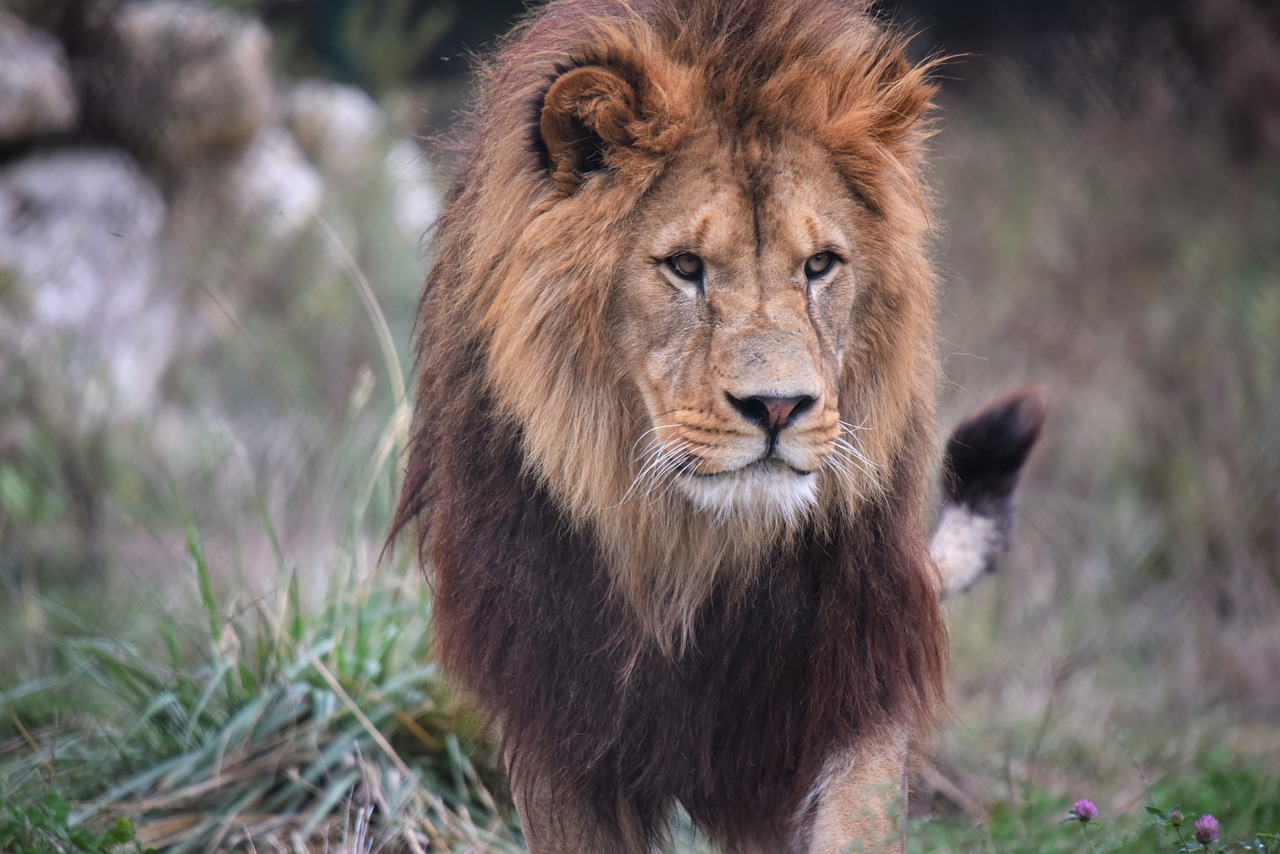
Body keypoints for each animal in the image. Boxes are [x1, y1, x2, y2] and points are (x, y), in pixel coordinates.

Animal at [386, 0, 1039, 850]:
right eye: (685, 267)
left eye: (820, 265)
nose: (779, 407)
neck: (689, 547)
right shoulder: (556, 715)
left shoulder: (851, 670)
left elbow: (857, 817)